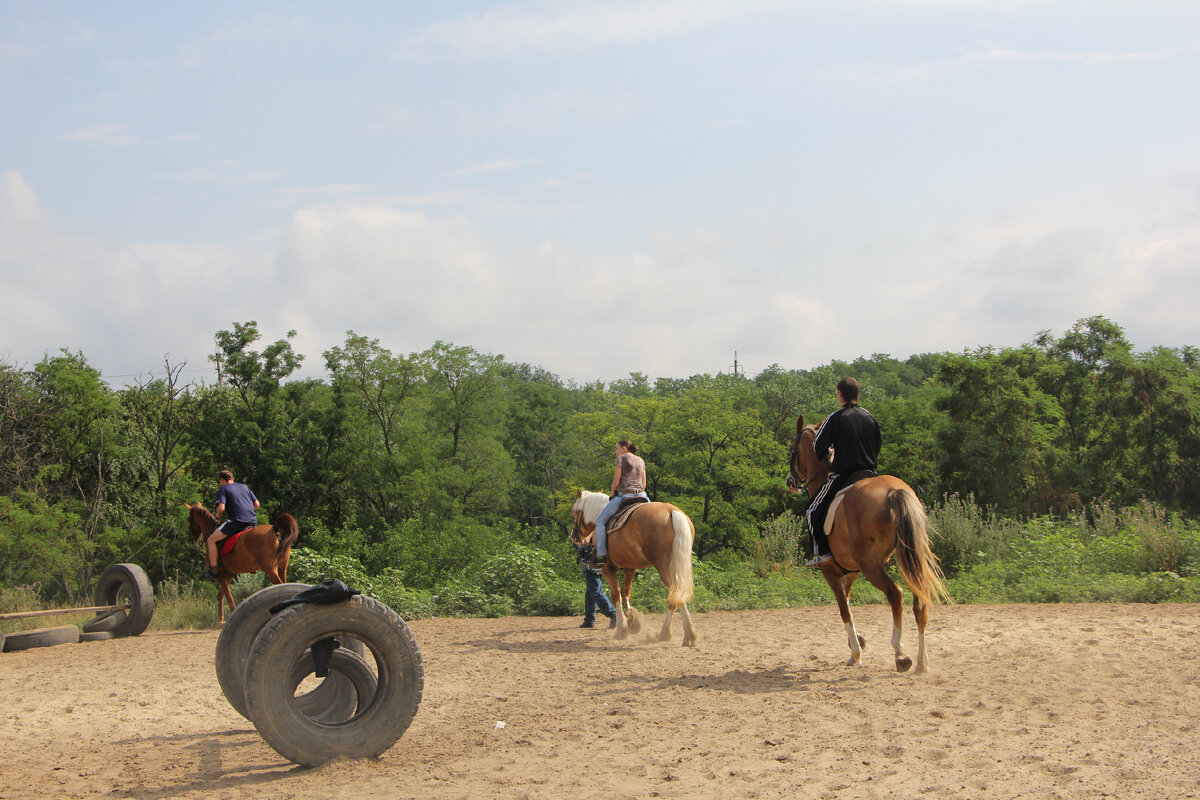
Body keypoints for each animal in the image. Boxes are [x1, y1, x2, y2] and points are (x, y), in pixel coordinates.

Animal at [568, 489, 700, 652]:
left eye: (575, 512)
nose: (573, 535)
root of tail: (673, 512)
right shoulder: (630, 568)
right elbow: (626, 594)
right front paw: (632, 620)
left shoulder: (608, 568)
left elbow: (616, 596)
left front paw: (621, 629)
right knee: (677, 597)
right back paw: (681, 634)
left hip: (665, 568)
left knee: (675, 597)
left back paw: (673, 634)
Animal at [787, 417, 945, 671]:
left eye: (793, 449)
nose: (790, 481)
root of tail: (894, 491)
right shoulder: (851, 570)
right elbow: (848, 602)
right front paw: (857, 642)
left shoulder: (830, 570)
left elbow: (844, 609)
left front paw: (855, 652)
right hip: (907, 558)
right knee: (919, 600)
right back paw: (922, 663)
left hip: (872, 566)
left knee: (896, 594)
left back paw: (901, 654)